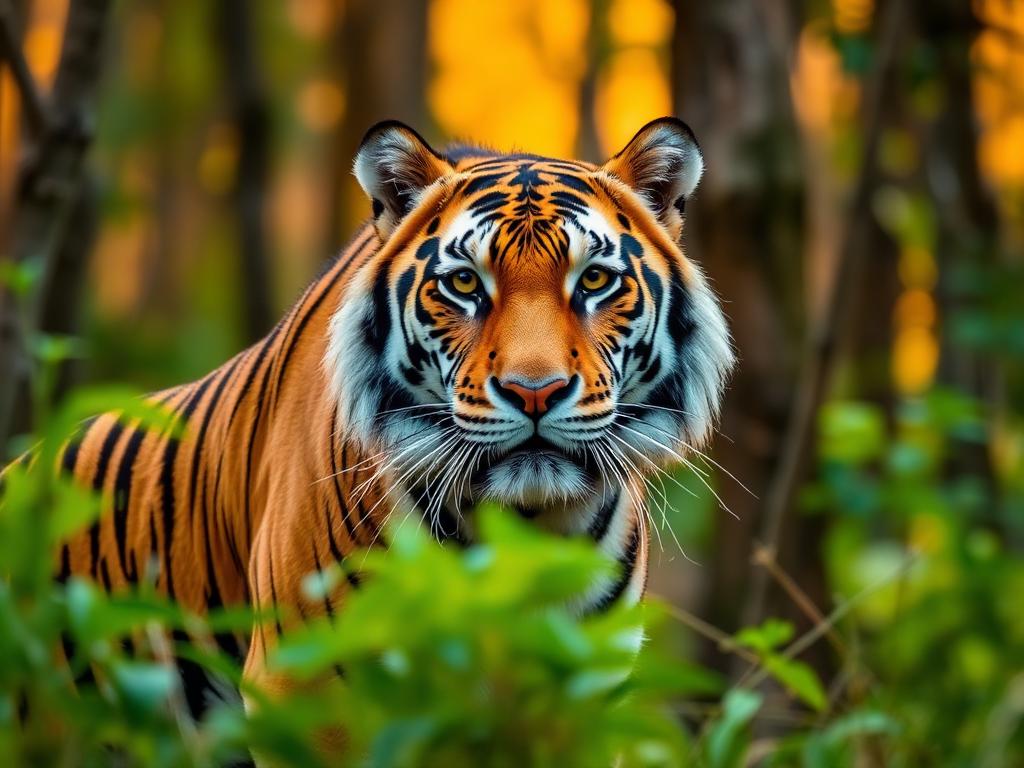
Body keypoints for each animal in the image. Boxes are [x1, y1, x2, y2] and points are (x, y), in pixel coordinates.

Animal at [42, 117, 733, 751]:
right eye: (464, 284)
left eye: (594, 280)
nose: (534, 390)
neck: (521, 528)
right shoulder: (307, 690)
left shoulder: (580, 692)